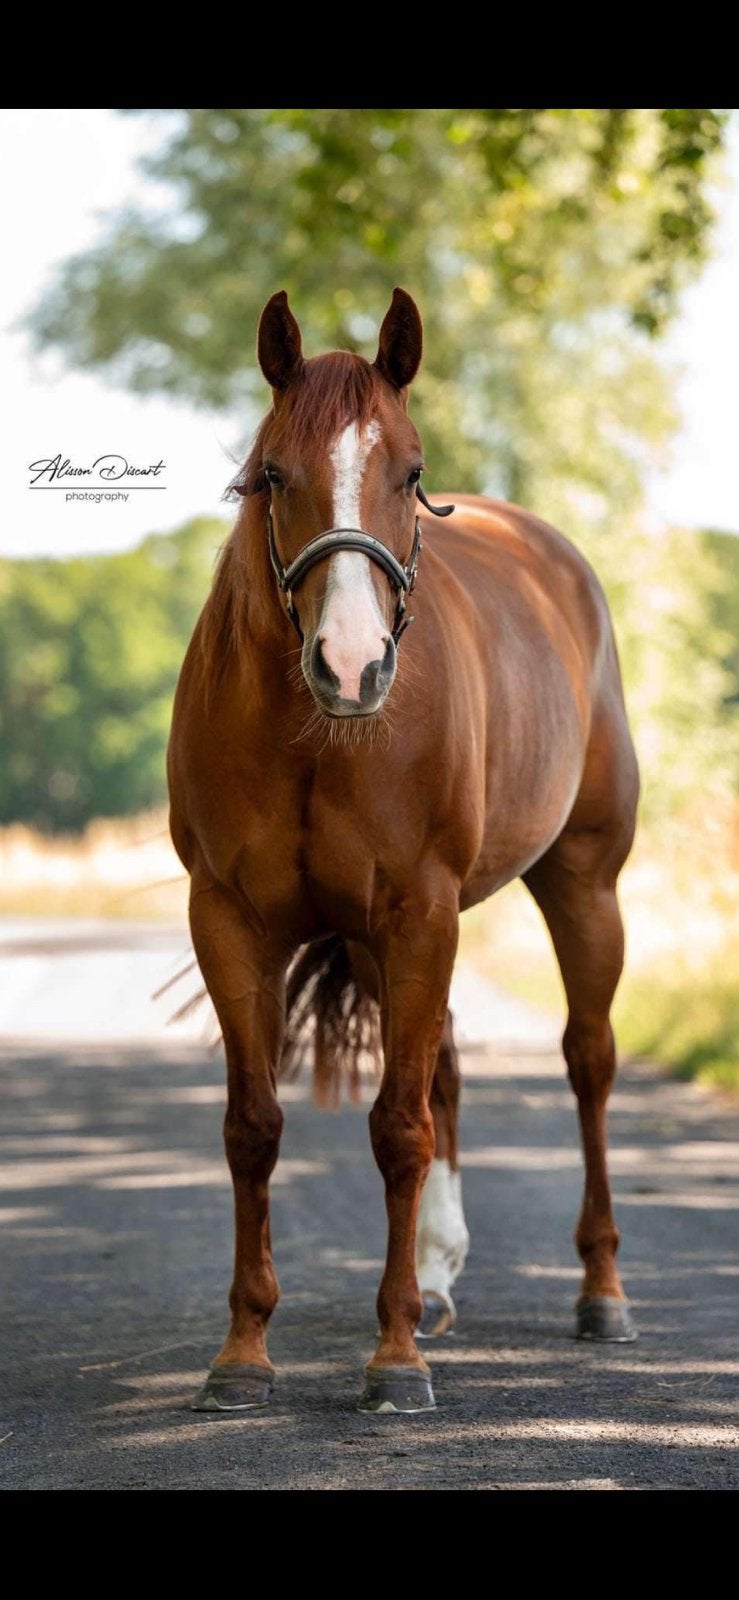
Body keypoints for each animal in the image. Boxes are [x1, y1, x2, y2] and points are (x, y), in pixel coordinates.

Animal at [167, 286, 640, 1414]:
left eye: (412, 474)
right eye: (271, 473)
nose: (351, 663)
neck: (315, 735)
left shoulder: (418, 911)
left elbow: (398, 1129)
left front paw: (392, 1362)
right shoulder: (229, 920)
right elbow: (254, 1126)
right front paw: (242, 1353)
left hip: (581, 885)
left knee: (587, 1062)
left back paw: (599, 1292)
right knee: (448, 1068)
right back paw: (434, 1276)